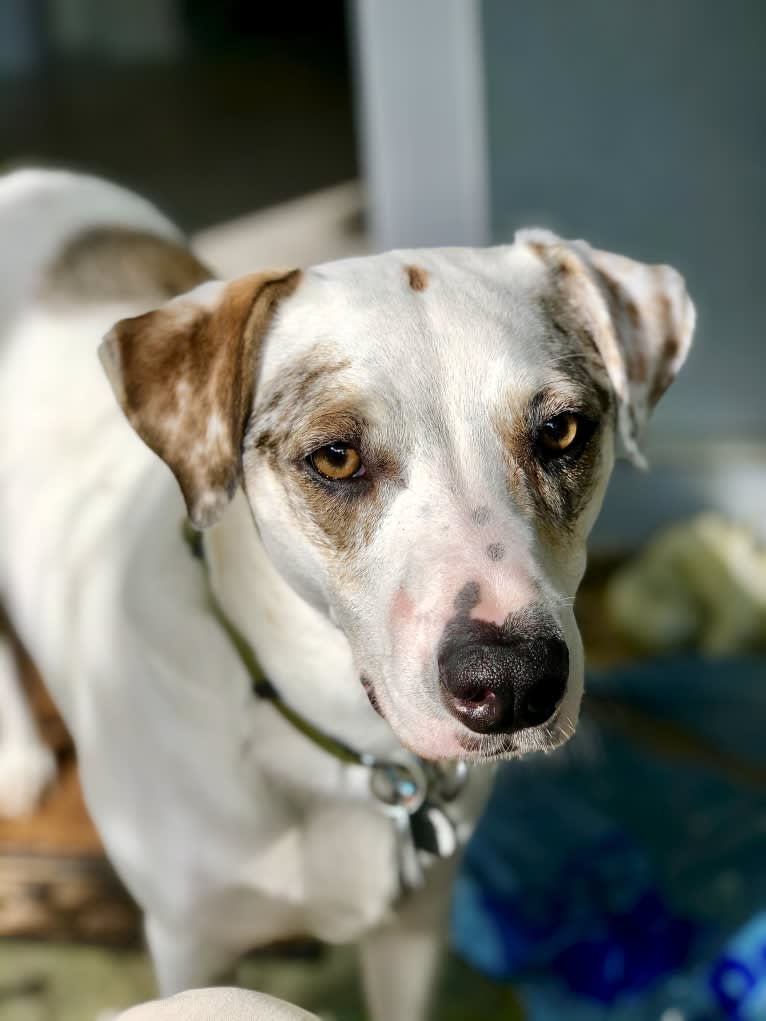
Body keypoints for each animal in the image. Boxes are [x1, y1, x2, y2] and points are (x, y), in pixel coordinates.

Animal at [0, 167, 694, 1012]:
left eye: (562, 431)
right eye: (335, 456)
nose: (512, 683)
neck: (348, 752)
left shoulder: (415, 930)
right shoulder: (191, 945)